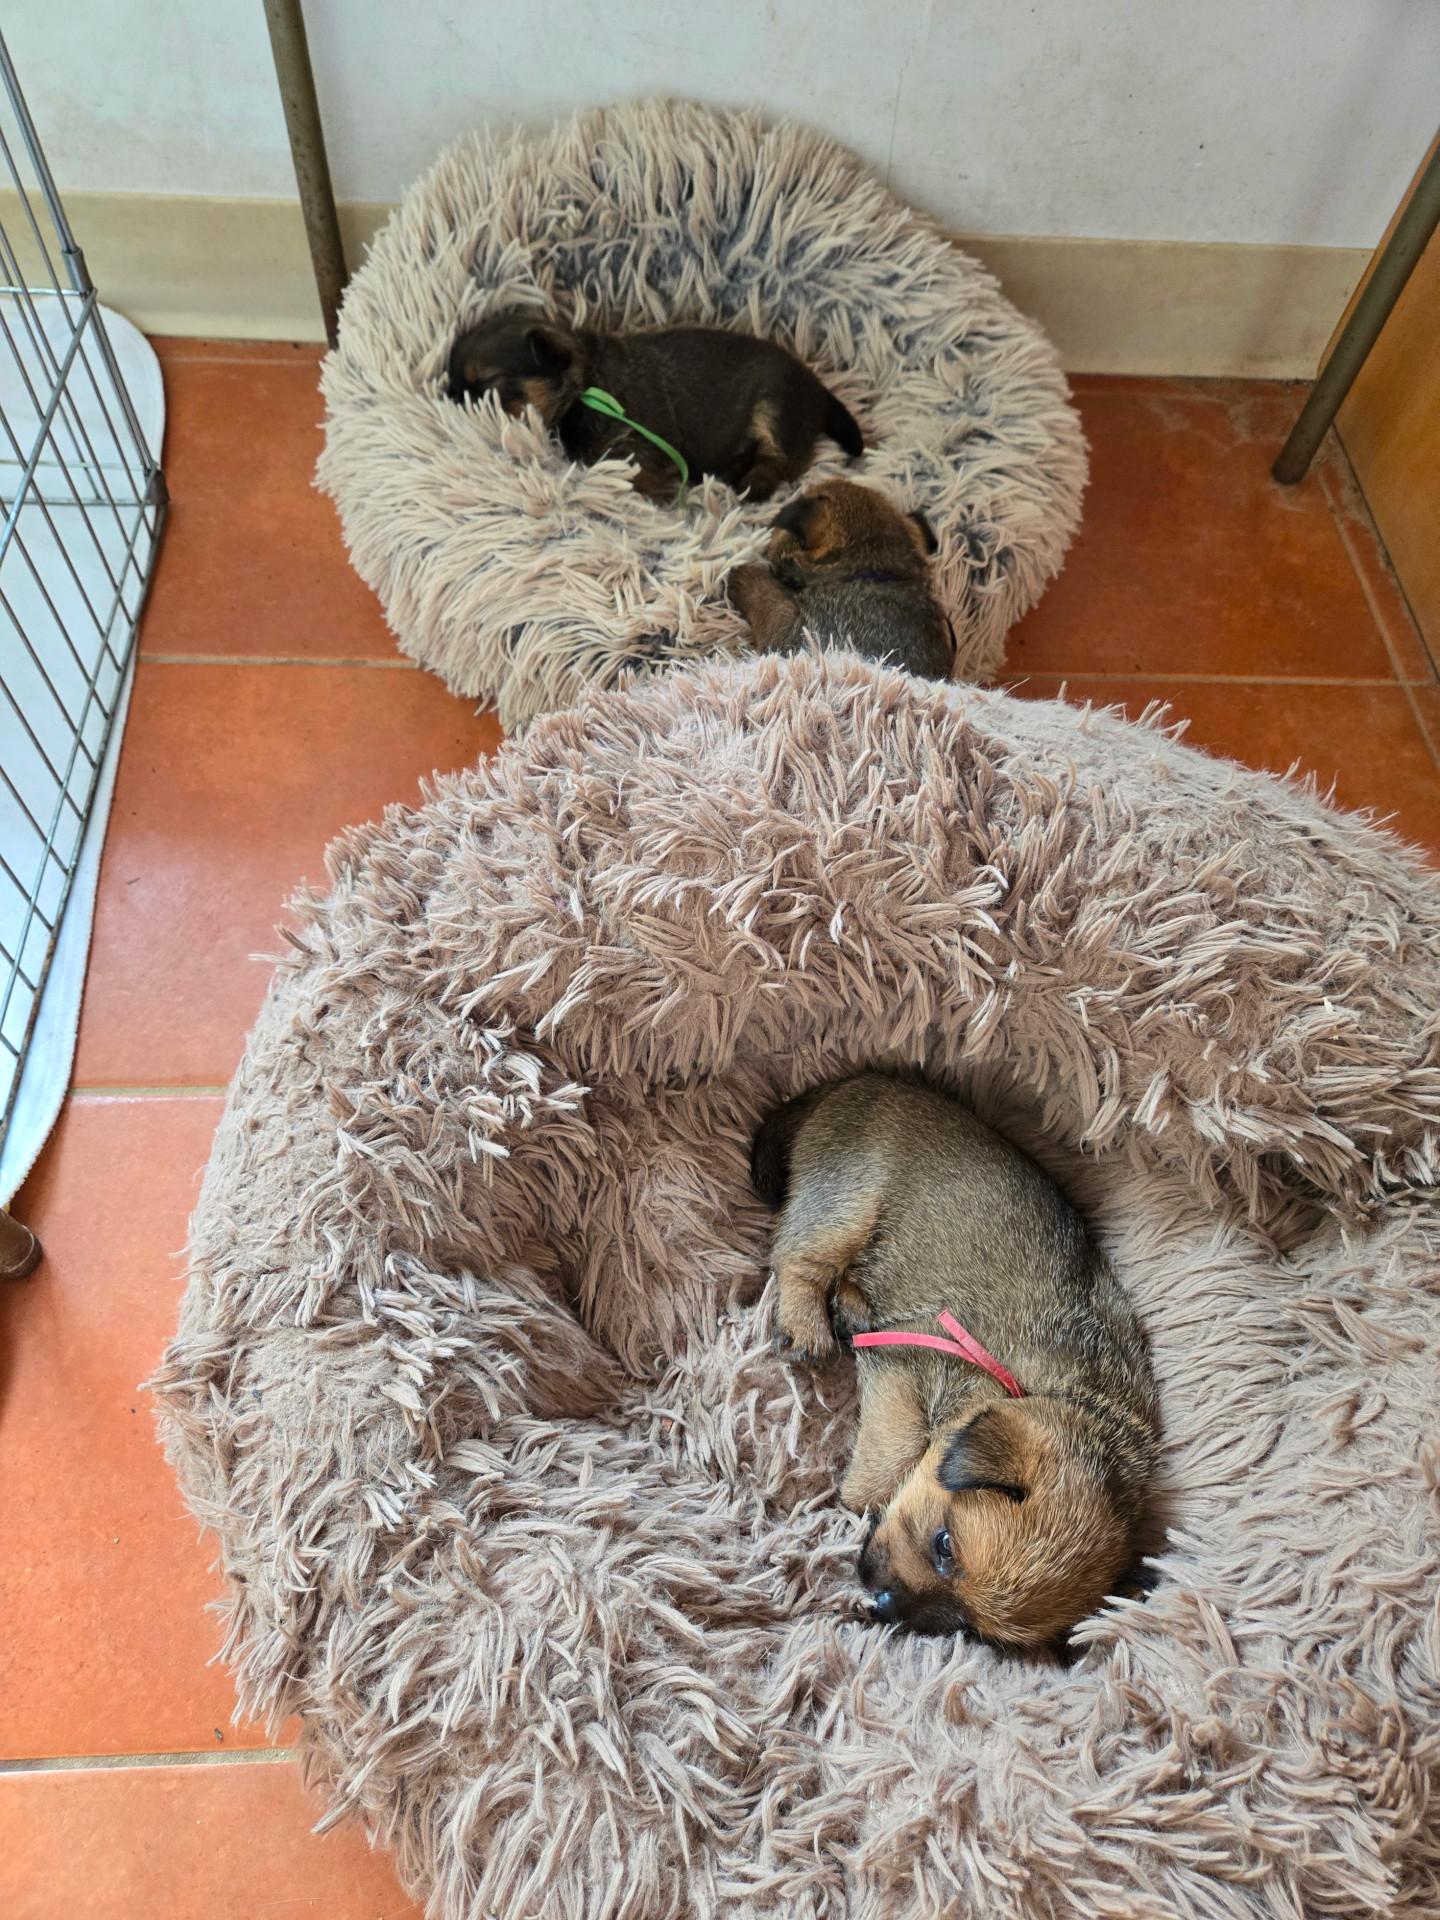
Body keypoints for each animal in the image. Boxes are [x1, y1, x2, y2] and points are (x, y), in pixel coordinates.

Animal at [446, 309, 862, 501]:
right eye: (450, 382)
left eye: (487, 386)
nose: (448, 401)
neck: (585, 387)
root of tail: (819, 387)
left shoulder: (641, 452)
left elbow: (630, 477)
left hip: (776, 407)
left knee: (783, 459)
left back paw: (751, 483)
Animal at [751, 1073, 1161, 1651]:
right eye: (944, 1544)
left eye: (969, 1627)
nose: (883, 1608)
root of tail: (860, 1081)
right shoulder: (905, 1363)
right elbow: (891, 1462)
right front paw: (857, 1496)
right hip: (847, 1197)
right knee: (798, 1253)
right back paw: (807, 1322)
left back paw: (851, 1305)